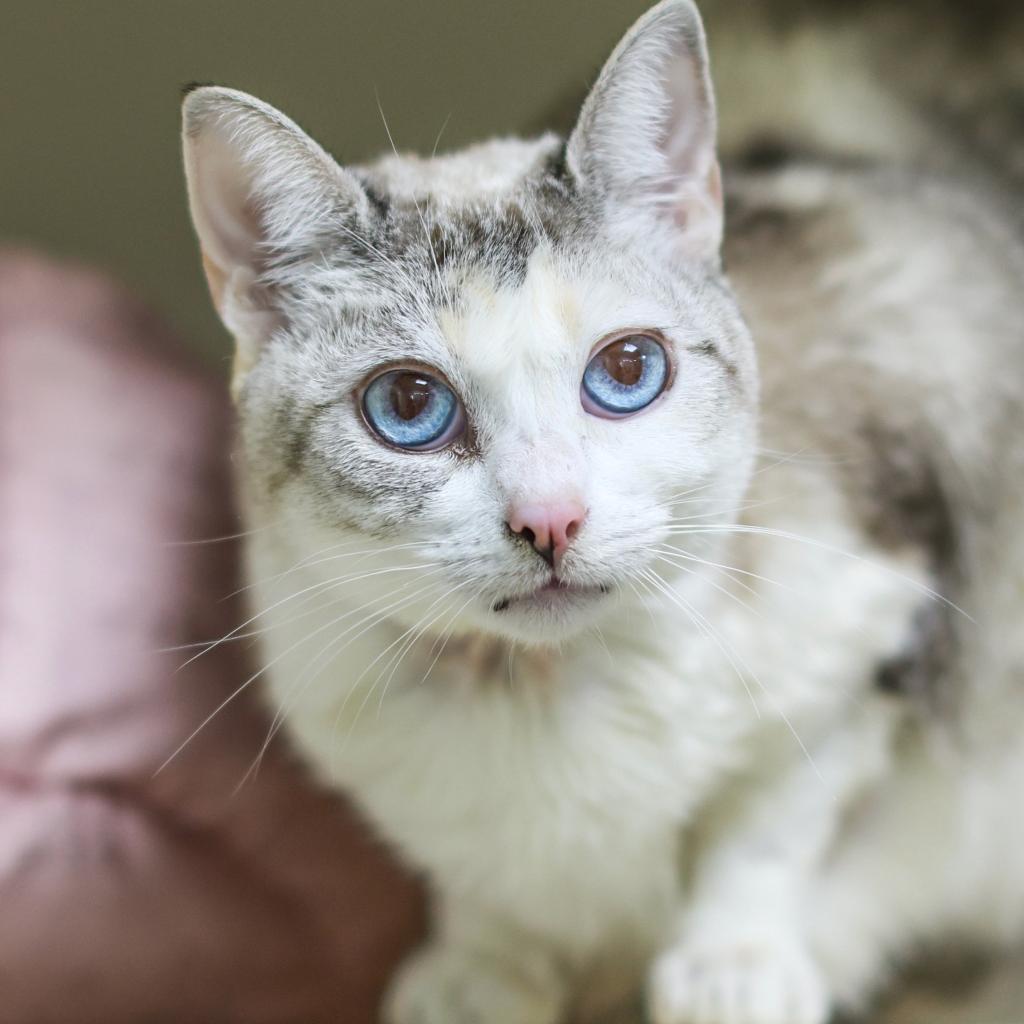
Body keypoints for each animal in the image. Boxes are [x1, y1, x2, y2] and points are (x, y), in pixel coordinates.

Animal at [178, 2, 1024, 1024]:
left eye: (628, 370)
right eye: (409, 405)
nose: (551, 519)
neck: (540, 691)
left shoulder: (889, 603)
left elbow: (774, 816)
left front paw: (731, 965)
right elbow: (475, 881)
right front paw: (484, 967)